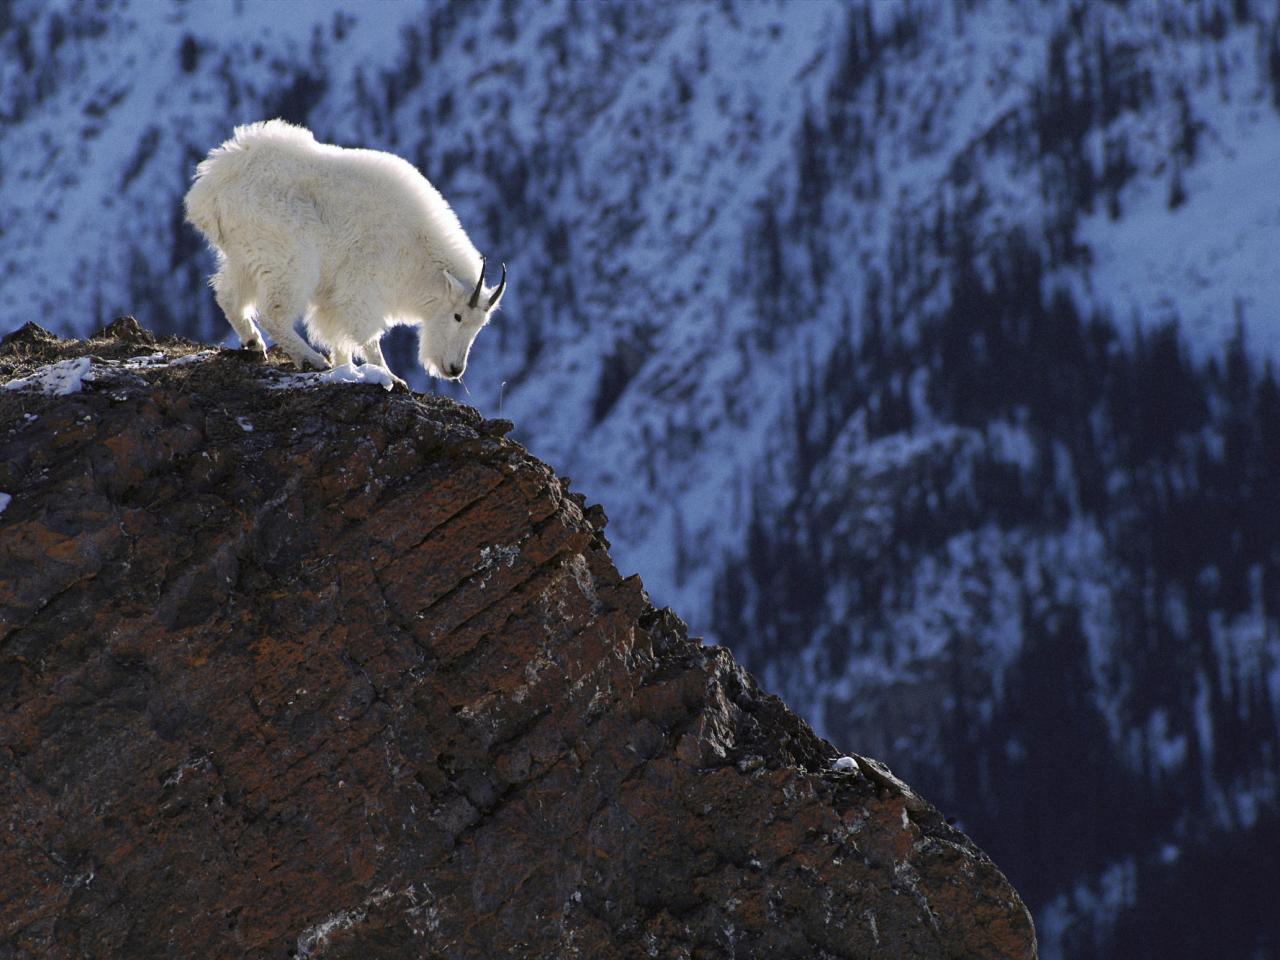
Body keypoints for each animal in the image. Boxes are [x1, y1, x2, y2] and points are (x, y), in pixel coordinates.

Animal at [185, 120, 504, 386]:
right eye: (458, 316)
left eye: (480, 325)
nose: (454, 369)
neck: (417, 249)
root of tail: (211, 187)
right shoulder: (362, 287)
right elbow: (366, 335)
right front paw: (390, 376)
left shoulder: (332, 298)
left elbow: (337, 337)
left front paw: (346, 368)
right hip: (288, 257)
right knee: (272, 312)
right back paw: (310, 359)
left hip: (246, 255)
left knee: (228, 295)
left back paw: (253, 344)